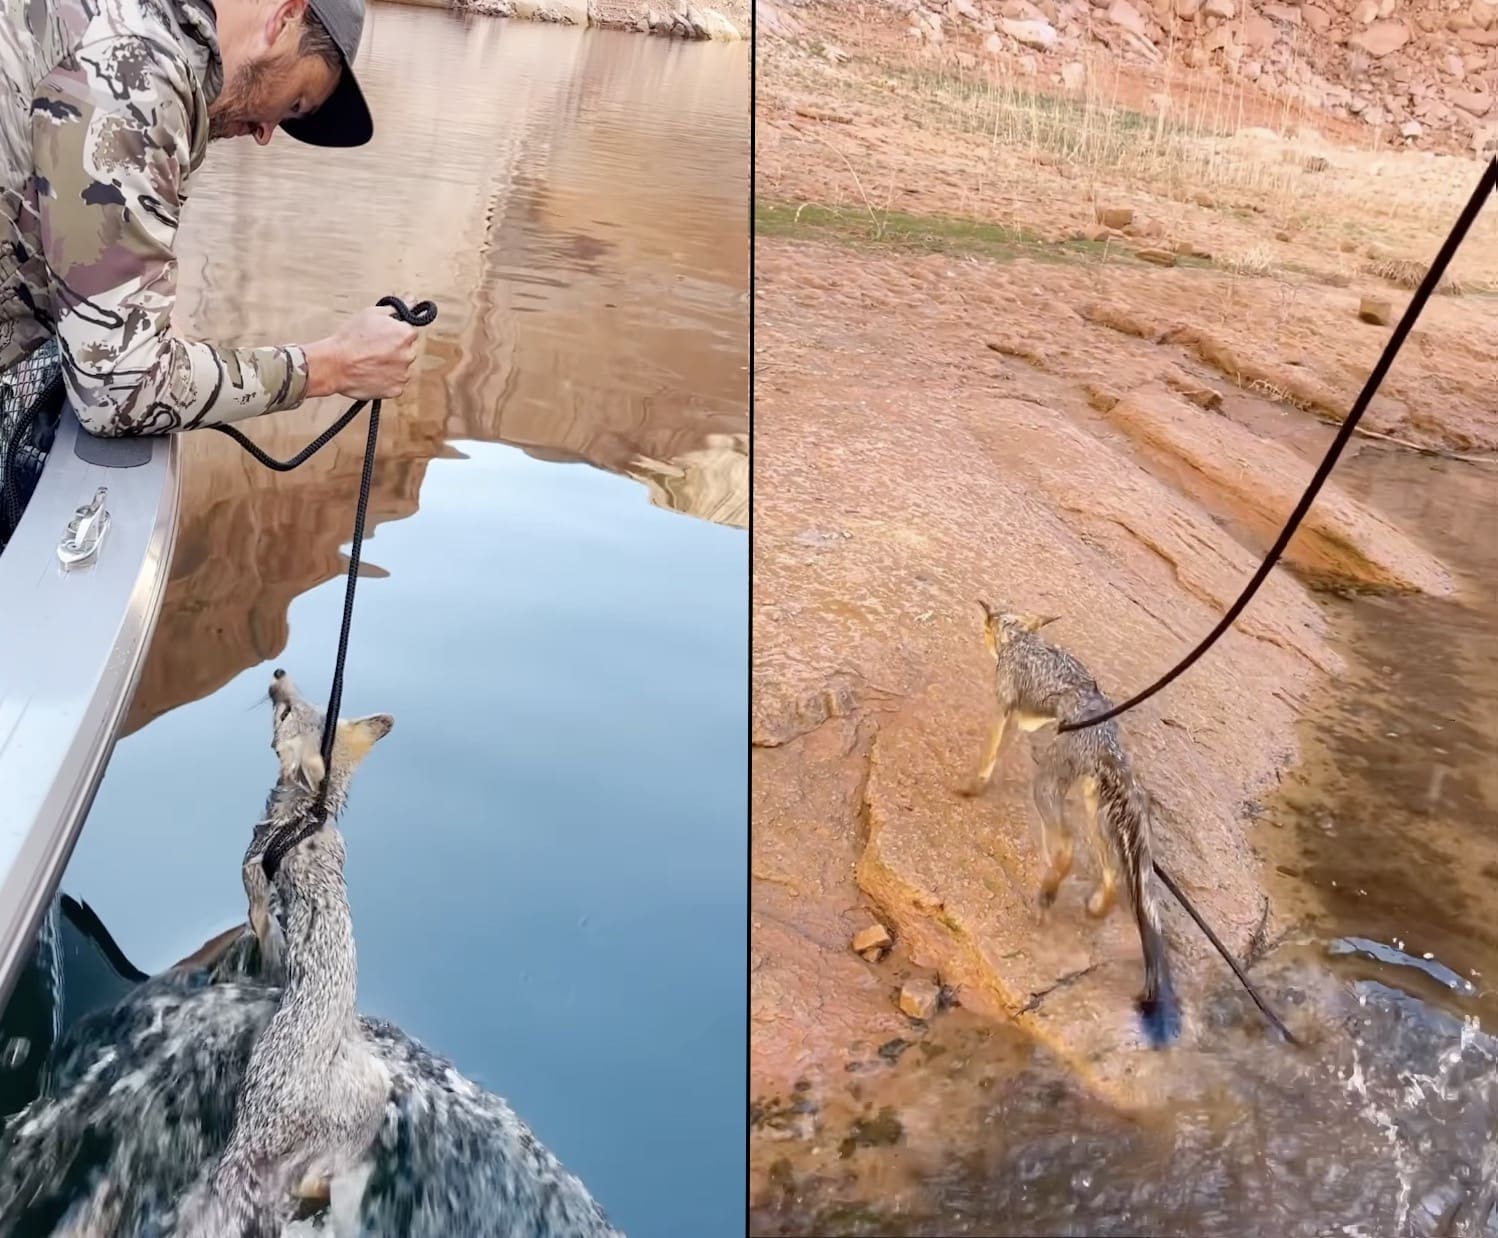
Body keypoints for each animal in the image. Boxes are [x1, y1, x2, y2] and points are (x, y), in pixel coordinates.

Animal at [958, 600, 1182, 1047]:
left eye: (986, 626)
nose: (978, 632)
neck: (1022, 640)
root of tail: (1107, 743)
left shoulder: (1005, 706)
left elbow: (989, 755)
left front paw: (975, 785)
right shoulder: (1025, 714)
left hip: (1048, 788)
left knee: (1065, 850)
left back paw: (1047, 898)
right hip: (1096, 810)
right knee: (1112, 873)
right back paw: (1094, 906)